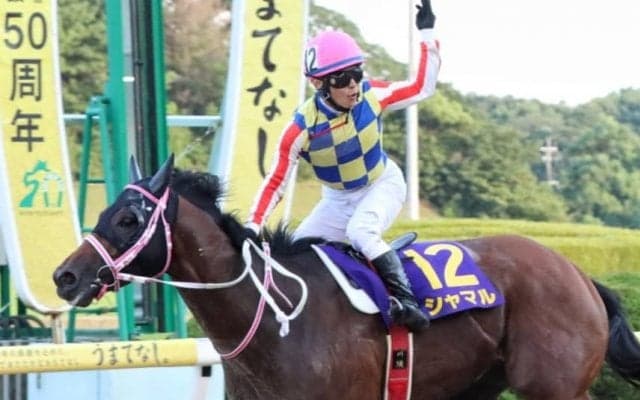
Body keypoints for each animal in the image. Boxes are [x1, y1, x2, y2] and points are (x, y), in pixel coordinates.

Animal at [53, 155, 640, 399]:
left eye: (128, 220)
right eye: (106, 210)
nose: (65, 276)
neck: (275, 321)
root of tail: (579, 274)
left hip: (553, 386)